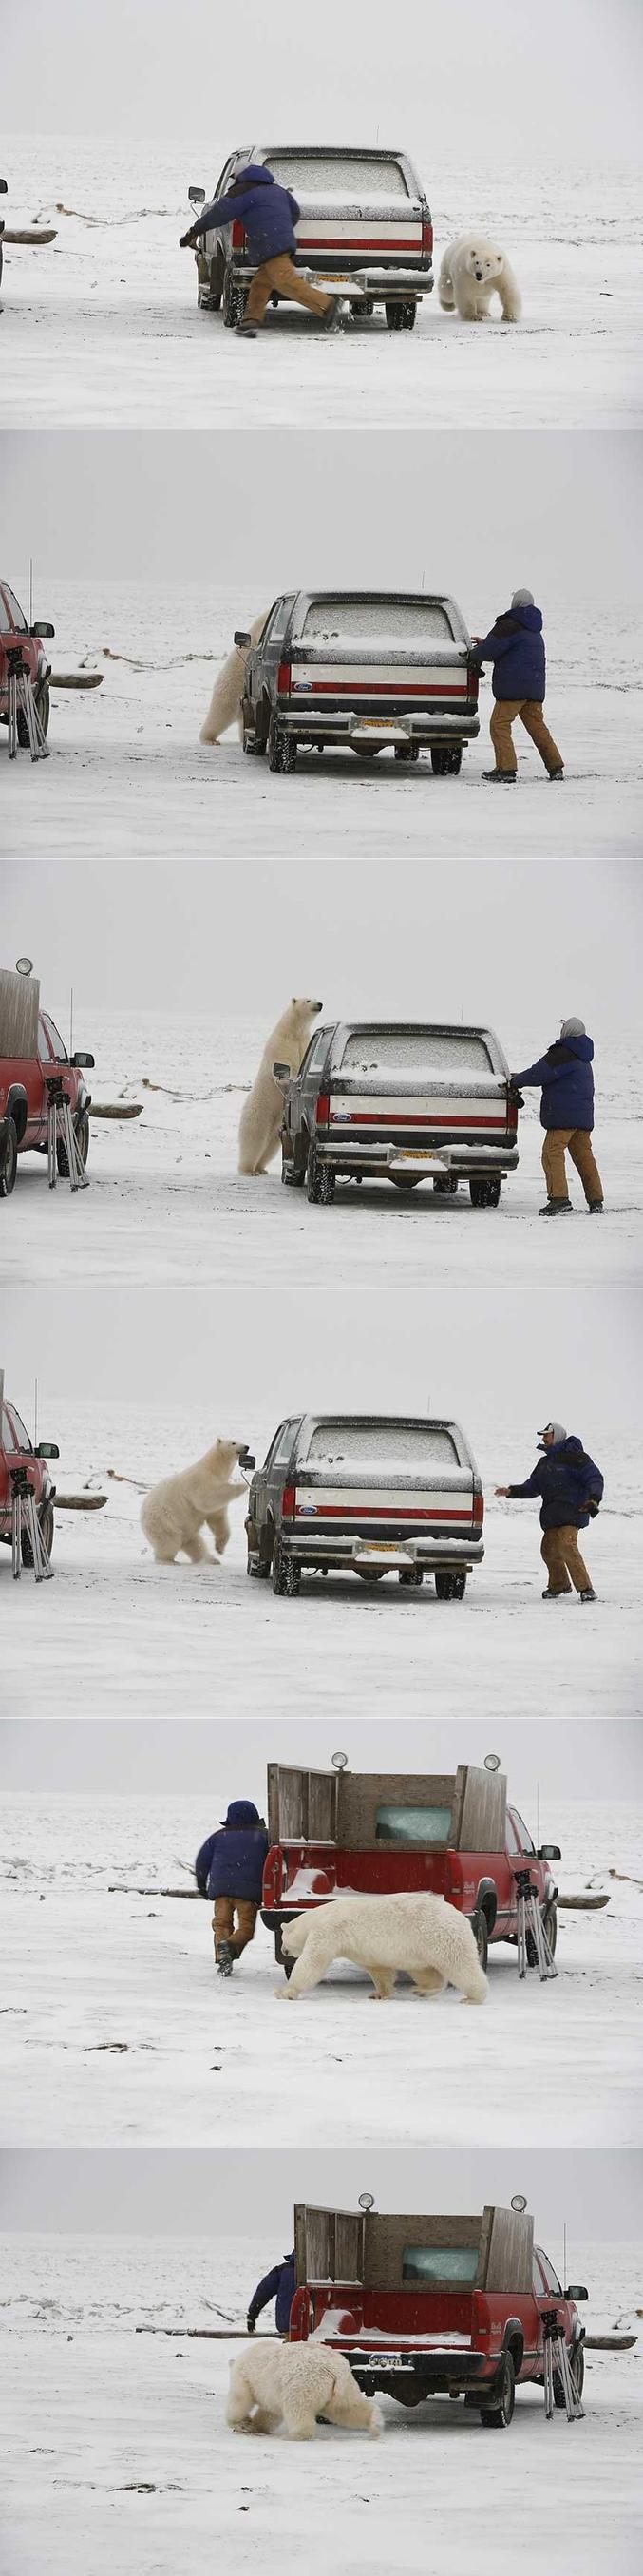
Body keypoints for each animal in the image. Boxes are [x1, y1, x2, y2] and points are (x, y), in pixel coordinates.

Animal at [226, 2349, 378, 2442]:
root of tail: (335, 2370)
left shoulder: (244, 2377)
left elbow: (240, 2398)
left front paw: (242, 2424)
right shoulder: (270, 2393)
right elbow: (269, 2413)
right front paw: (255, 2426)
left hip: (303, 2384)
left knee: (298, 2409)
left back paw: (292, 2436)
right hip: (344, 2387)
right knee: (346, 2408)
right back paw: (375, 2423)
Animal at [238, 994, 324, 1179]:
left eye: (316, 998)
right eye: (307, 1000)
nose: (320, 1004)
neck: (294, 1031)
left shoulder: (303, 1042)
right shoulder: (282, 1043)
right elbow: (285, 1064)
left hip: (277, 1122)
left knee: (271, 1146)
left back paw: (261, 1168)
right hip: (260, 1113)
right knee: (255, 1140)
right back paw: (248, 1170)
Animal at [280, 1885, 485, 1998]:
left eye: (283, 1939)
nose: (283, 1951)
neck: (319, 1916)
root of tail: (460, 1917)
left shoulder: (328, 1931)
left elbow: (313, 1961)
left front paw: (285, 1991)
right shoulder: (362, 1950)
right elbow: (379, 1969)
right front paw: (379, 1994)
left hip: (438, 1936)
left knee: (460, 1965)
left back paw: (474, 1996)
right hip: (419, 1948)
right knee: (424, 1970)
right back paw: (422, 1990)